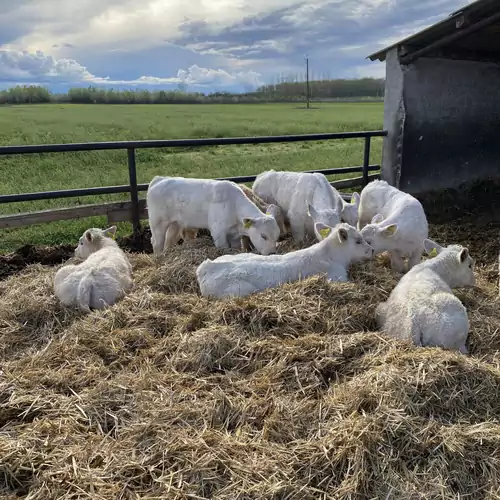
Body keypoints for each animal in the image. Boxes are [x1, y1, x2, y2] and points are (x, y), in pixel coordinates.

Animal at [197, 222, 374, 296]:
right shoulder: (337, 277)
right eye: (358, 241)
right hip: (239, 290)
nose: (372, 250)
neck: (330, 255)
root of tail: (206, 267)